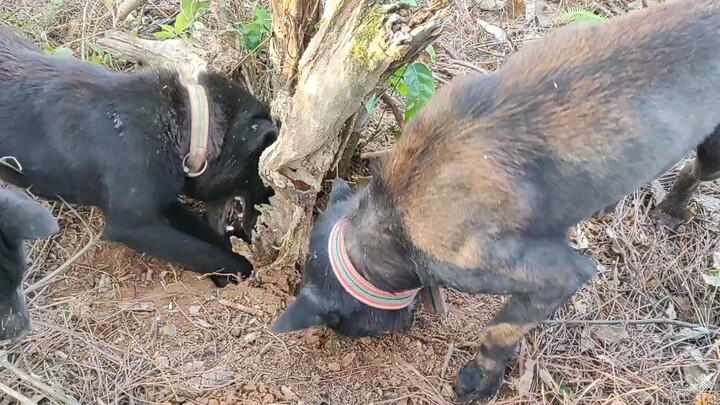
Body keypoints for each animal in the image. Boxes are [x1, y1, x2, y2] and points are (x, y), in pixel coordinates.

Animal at [0, 28, 276, 286]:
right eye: (259, 176)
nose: (256, 229)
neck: (187, 127)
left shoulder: (164, 202)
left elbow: (208, 235)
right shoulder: (134, 225)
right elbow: (206, 253)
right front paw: (243, 269)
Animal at [268, 0, 720, 398]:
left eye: (346, 325)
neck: (388, 219)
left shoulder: (552, 274)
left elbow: (496, 331)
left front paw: (479, 381)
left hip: (713, 154)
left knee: (694, 172)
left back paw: (672, 210)